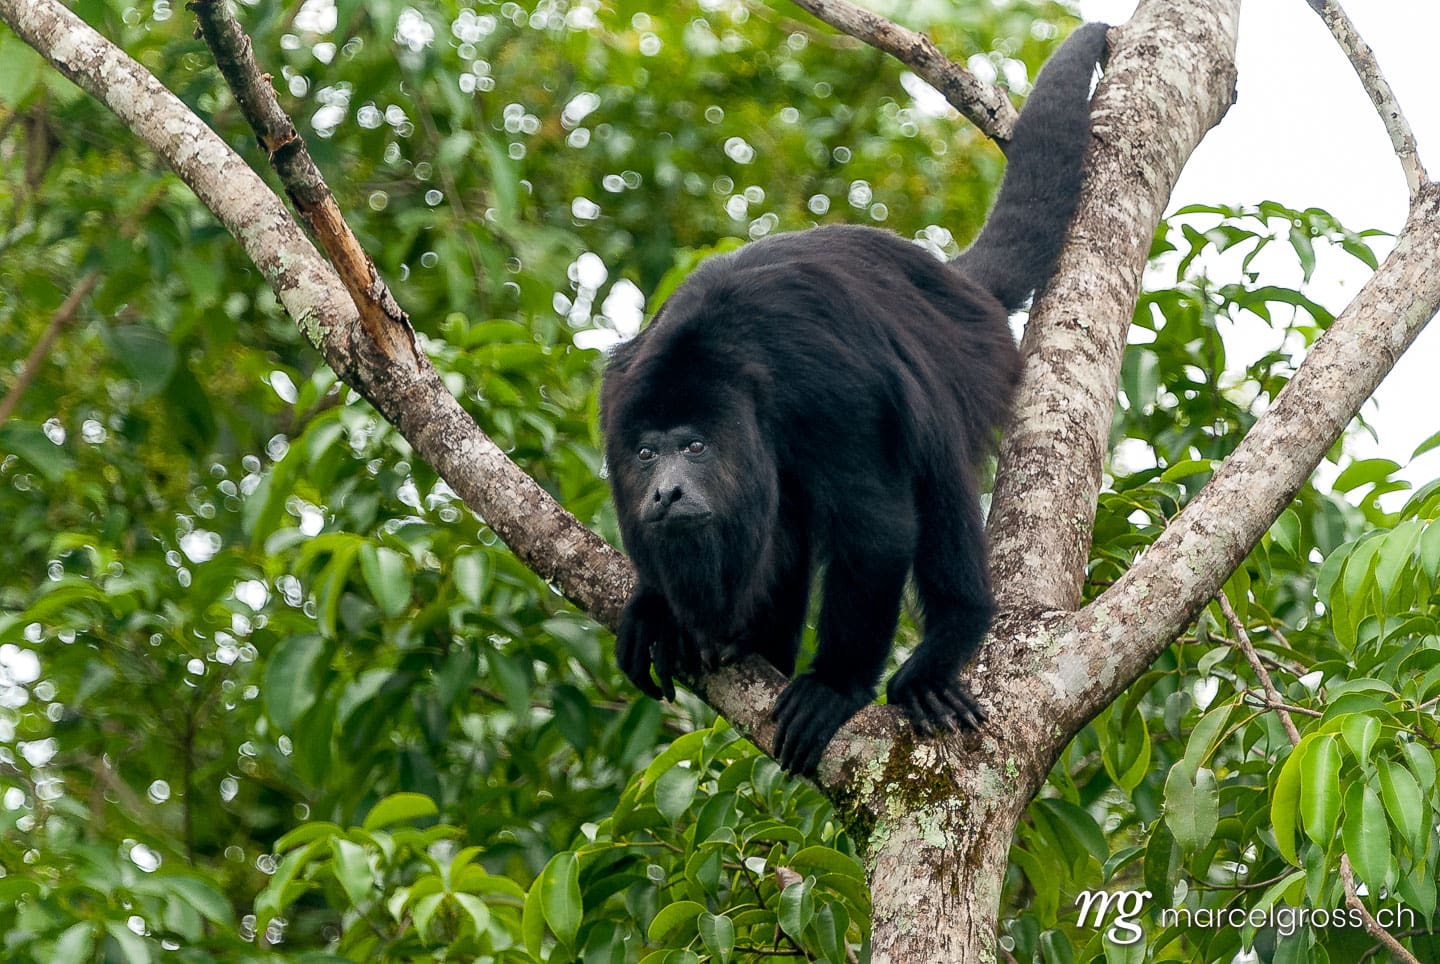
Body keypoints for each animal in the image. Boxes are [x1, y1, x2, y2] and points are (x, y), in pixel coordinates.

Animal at [600, 23, 1109, 774]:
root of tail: (952, 283)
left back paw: (948, 641)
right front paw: (655, 608)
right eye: (643, 455)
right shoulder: (616, 392)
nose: (665, 491)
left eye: (694, 445)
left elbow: (876, 527)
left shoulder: (824, 389)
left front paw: (834, 685)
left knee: (934, 476)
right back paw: (756, 644)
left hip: (972, 362)